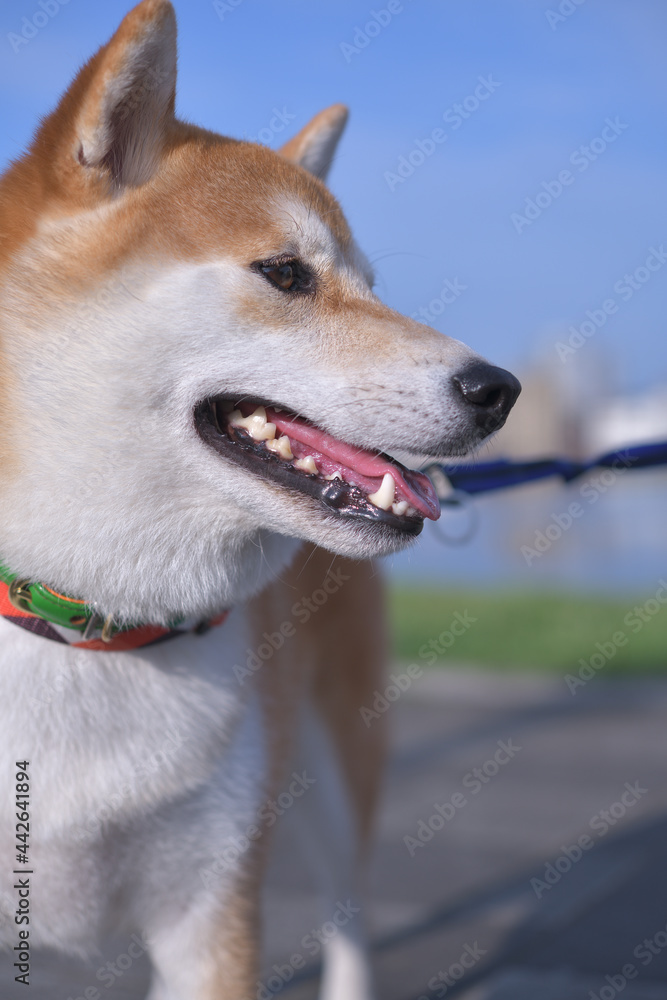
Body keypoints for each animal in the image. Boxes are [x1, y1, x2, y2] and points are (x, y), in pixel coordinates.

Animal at [0, 3, 520, 996]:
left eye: (371, 287)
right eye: (285, 274)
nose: (499, 389)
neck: (88, 622)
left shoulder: (212, 911)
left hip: (331, 764)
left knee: (348, 910)